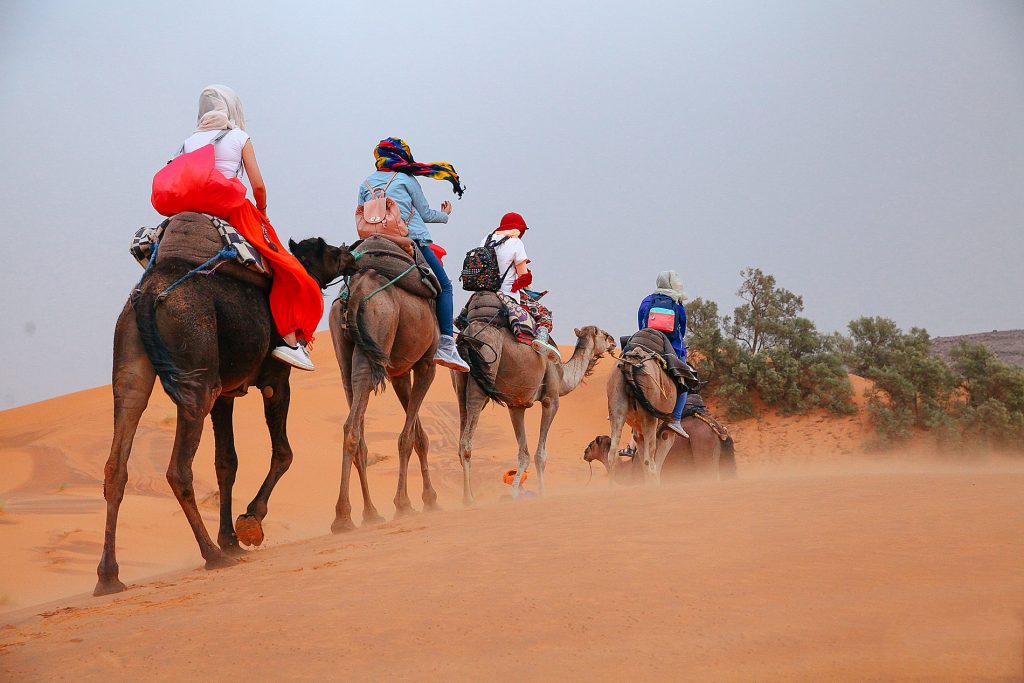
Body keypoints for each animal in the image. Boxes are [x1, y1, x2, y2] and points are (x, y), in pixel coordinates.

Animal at [96, 215, 352, 598]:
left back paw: (108, 576)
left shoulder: (226, 395)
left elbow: (226, 463)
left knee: (117, 462)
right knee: (177, 469)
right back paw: (212, 555)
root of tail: (148, 298)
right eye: (332, 251)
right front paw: (249, 523)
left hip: (132, 362)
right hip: (196, 372)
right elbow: (284, 453)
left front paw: (230, 538)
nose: (351, 253)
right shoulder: (275, 378)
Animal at [327, 242, 440, 532]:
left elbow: (419, 436)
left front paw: (428, 499)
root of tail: (355, 293)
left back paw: (363, 514)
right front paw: (407, 504)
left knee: (353, 424)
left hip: (346, 351)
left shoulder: (398, 372)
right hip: (379, 330)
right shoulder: (426, 365)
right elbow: (407, 437)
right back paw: (346, 517)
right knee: (356, 420)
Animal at [452, 307, 610, 505]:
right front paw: (541, 493)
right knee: (466, 442)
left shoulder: (516, 405)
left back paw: (468, 496)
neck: (563, 376)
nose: (613, 341)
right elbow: (540, 455)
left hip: (460, 382)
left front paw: (513, 493)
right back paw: (468, 499)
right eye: (605, 335)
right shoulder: (551, 399)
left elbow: (524, 454)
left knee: (460, 439)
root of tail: (468, 332)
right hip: (483, 374)